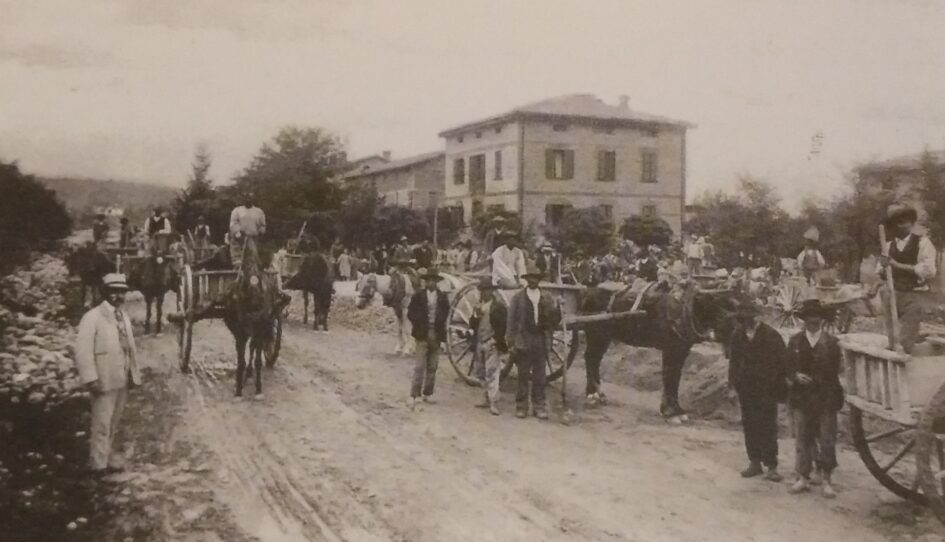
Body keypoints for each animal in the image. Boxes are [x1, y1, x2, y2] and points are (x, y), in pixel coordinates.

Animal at [580, 282, 740, 428]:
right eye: (721, 310)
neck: (686, 309)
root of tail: (588, 291)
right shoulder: (670, 349)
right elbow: (670, 377)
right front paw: (671, 413)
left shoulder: (682, 349)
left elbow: (676, 378)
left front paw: (676, 410)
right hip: (596, 335)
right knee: (591, 358)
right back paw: (592, 394)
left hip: (604, 337)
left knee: (594, 359)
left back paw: (597, 393)